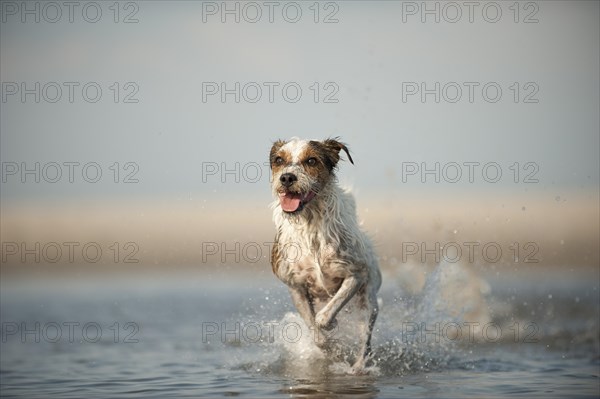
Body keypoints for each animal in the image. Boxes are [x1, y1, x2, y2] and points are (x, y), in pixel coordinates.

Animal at [270, 138, 382, 372]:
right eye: (279, 160)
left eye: (311, 160)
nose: (287, 177)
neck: (310, 223)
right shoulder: (295, 286)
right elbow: (316, 332)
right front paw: (328, 346)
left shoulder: (356, 274)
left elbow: (325, 314)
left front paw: (331, 323)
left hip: (368, 301)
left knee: (366, 342)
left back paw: (358, 367)